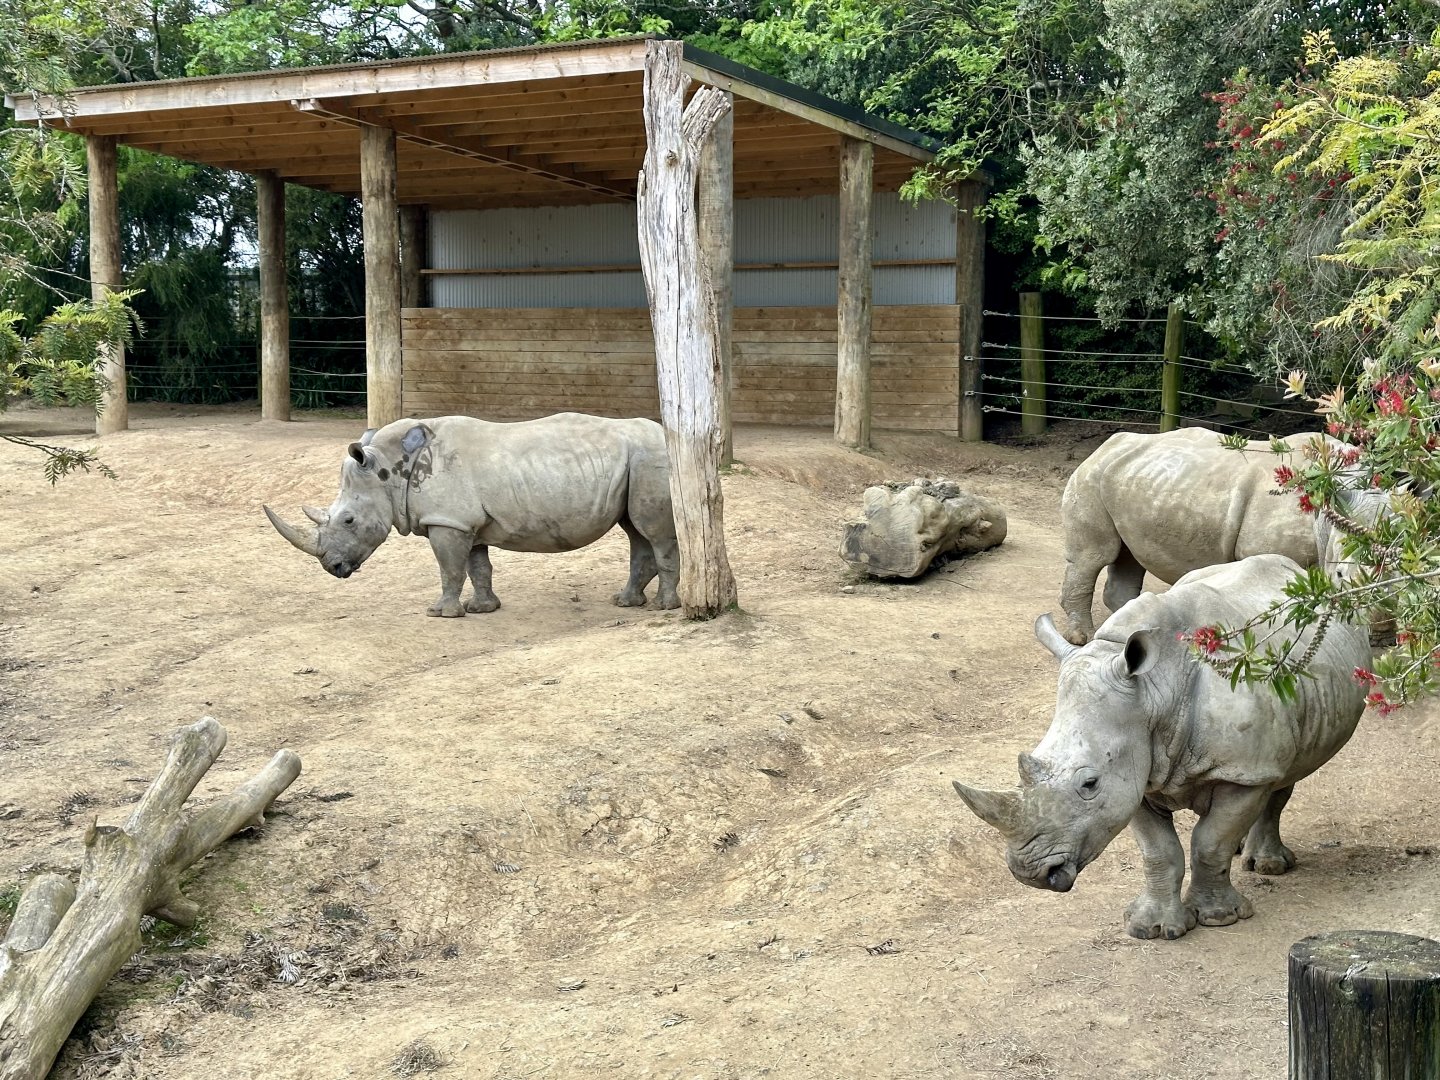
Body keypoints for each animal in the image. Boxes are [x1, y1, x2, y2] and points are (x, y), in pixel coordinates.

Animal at [265, 413, 680, 616]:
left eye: (349, 520)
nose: (332, 567)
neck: (387, 469)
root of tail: (666, 436)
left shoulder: (447, 521)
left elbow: (449, 568)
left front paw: (441, 614)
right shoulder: (465, 522)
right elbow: (477, 567)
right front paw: (483, 609)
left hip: (651, 457)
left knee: (653, 532)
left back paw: (665, 608)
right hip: (636, 461)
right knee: (635, 530)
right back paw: (625, 603)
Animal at [953, 554, 1370, 940]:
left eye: (1089, 784)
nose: (1030, 873)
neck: (1156, 691)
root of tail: (1295, 569)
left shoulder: (1240, 769)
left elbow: (1209, 842)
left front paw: (1219, 918)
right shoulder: (1135, 768)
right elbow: (1159, 851)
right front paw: (1151, 928)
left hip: (1280, 725)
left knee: (1283, 775)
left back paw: (1267, 866)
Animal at [1059, 428, 1341, 645]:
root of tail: (1104, 446)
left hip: (1128, 481)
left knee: (1128, 556)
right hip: (1090, 477)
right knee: (1095, 555)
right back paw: (1081, 638)